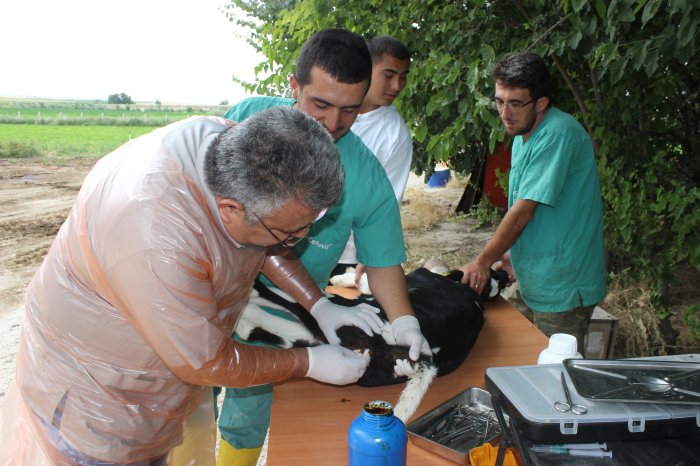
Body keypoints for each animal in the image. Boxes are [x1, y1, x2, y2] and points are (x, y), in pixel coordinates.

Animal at [237, 266, 508, 422]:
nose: (505, 276)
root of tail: (425, 359)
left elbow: (365, 278)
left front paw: (344, 276)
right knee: (275, 332)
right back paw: (245, 317)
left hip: (343, 315)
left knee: (291, 302)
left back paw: (250, 298)